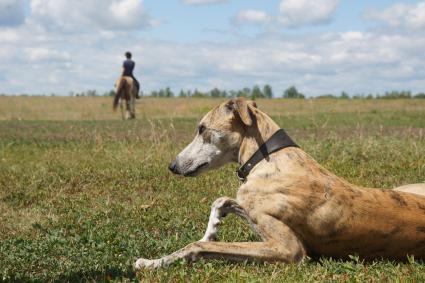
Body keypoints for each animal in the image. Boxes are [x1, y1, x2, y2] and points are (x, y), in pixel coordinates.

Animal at [135, 98, 424, 270]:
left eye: (202, 129)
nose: (173, 166)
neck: (269, 157)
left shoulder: (288, 248)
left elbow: (198, 246)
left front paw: (151, 262)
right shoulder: (251, 205)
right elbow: (223, 201)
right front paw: (212, 227)